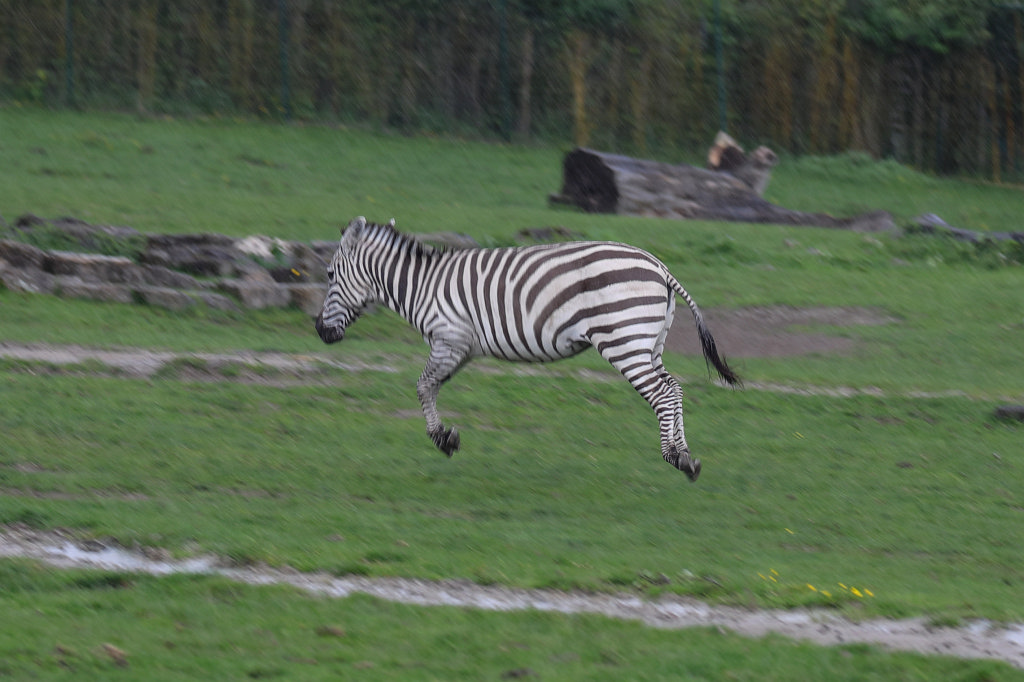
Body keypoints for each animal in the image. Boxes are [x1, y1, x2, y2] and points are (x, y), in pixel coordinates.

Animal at [315, 216, 739, 481]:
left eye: (331, 274)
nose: (319, 330)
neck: (422, 287)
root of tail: (659, 266)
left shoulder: (449, 339)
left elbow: (422, 386)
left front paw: (443, 440)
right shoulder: (462, 348)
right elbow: (431, 386)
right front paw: (445, 437)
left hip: (623, 340)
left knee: (662, 393)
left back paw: (676, 458)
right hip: (648, 343)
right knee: (674, 388)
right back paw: (684, 454)